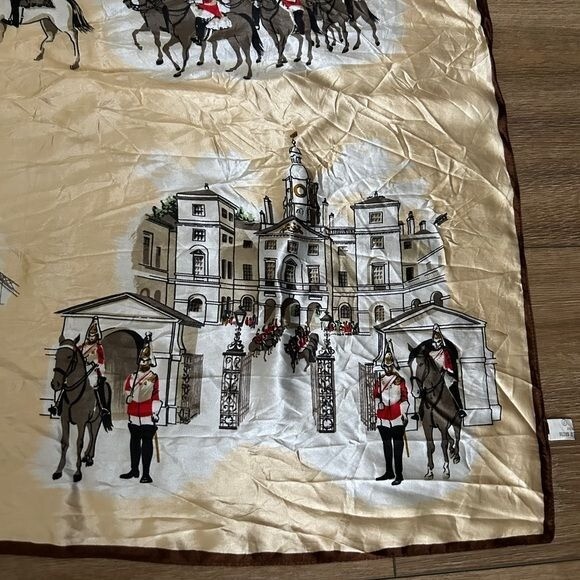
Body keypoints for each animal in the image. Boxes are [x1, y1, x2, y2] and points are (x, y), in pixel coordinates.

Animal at [50, 335, 112, 482]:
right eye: (56, 356)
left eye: (69, 357)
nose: (55, 384)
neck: (75, 394)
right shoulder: (65, 420)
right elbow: (64, 443)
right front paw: (58, 470)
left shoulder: (81, 422)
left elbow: (79, 443)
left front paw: (77, 473)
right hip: (90, 421)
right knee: (91, 435)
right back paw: (87, 456)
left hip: (96, 420)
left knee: (94, 435)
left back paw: (89, 458)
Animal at [408, 343, 462, 480]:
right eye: (409, 365)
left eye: (421, 364)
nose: (415, 392)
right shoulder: (428, 425)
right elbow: (430, 446)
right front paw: (429, 471)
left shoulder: (443, 425)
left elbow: (443, 445)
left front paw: (446, 470)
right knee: (451, 439)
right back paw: (452, 451)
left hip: (457, 422)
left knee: (457, 437)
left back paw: (456, 456)